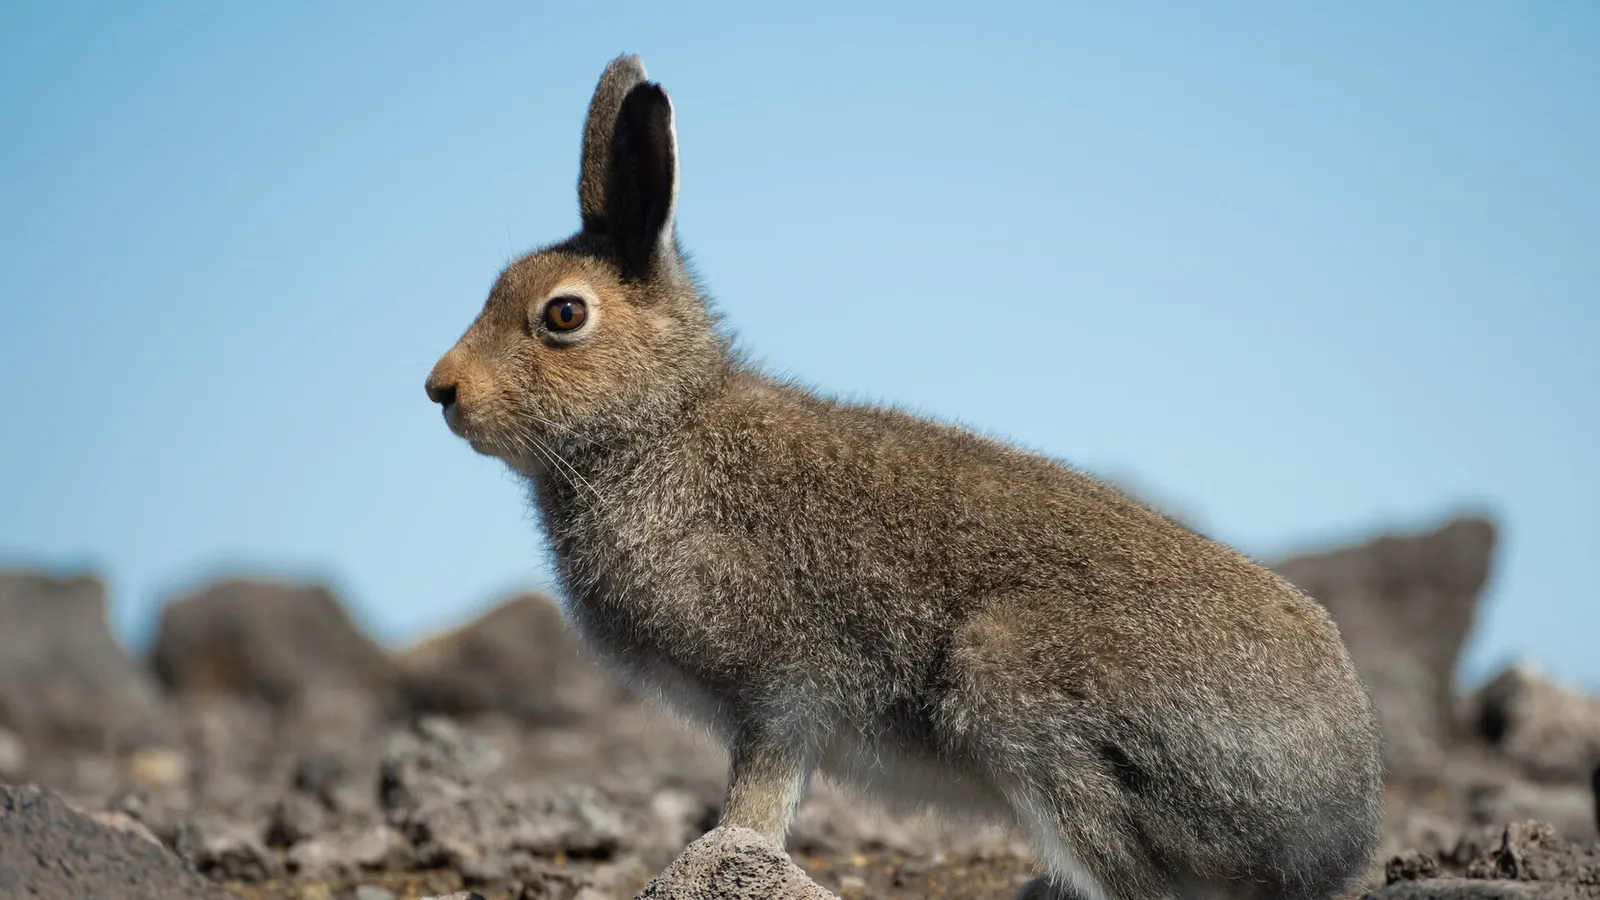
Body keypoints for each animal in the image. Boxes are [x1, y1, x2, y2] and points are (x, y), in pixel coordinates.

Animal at [424, 54, 1385, 900]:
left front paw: (720, 861)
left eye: (563, 315)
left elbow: (754, 808)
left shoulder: (783, 691)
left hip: (1015, 692)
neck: (660, 426)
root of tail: (1342, 813)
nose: (441, 390)